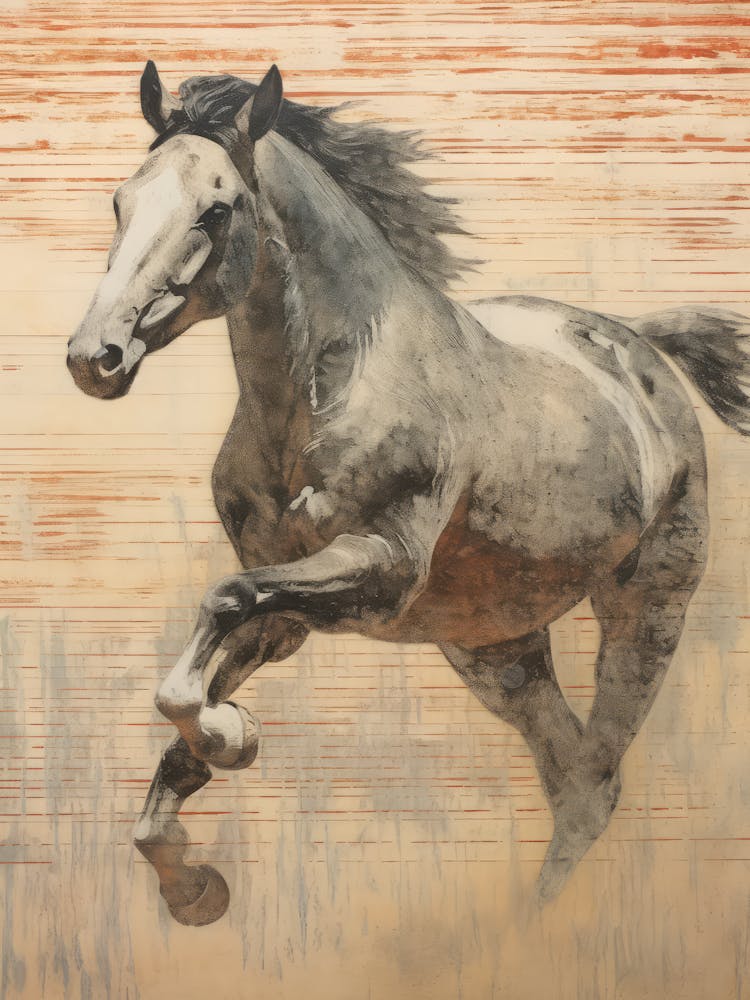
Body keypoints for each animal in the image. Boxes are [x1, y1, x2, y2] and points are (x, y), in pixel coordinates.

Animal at [67, 61, 750, 927]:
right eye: (121, 200)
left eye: (217, 209)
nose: (96, 356)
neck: (325, 388)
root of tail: (640, 347)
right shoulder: (288, 613)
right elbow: (189, 704)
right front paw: (194, 883)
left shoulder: (380, 567)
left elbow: (219, 604)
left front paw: (234, 737)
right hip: (495, 647)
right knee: (574, 782)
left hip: (647, 611)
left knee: (597, 774)